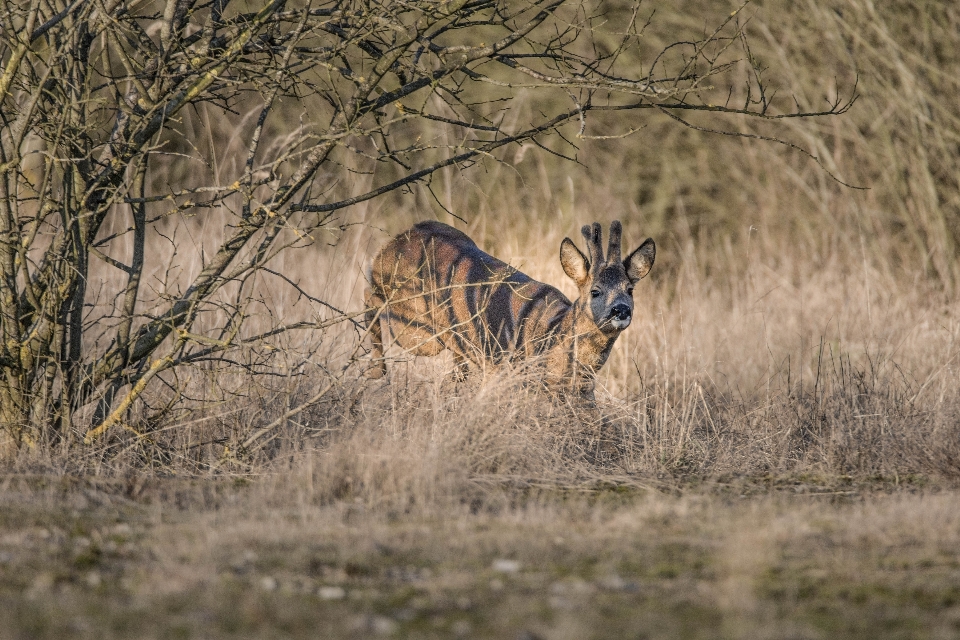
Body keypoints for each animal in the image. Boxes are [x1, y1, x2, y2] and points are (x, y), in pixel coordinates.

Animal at [364, 220, 656, 400]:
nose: (620, 310)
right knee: (371, 296)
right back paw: (376, 370)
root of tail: (401, 237)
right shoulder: (510, 373)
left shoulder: (582, 394)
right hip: (414, 325)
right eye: (595, 291)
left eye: (630, 289)